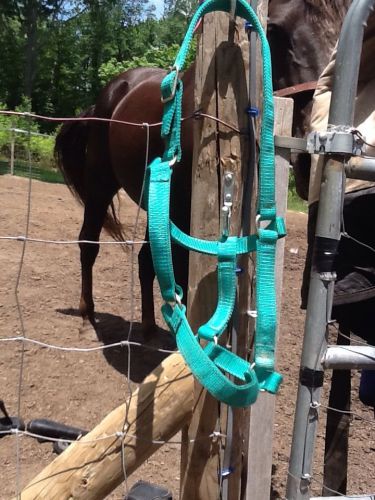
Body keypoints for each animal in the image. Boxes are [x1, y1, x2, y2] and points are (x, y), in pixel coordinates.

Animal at [54, 0, 352, 336]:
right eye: (274, 29)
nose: (313, 161)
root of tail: (111, 94)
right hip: (100, 186)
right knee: (88, 243)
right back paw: (87, 316)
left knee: (146, 261)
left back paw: (148, 326)